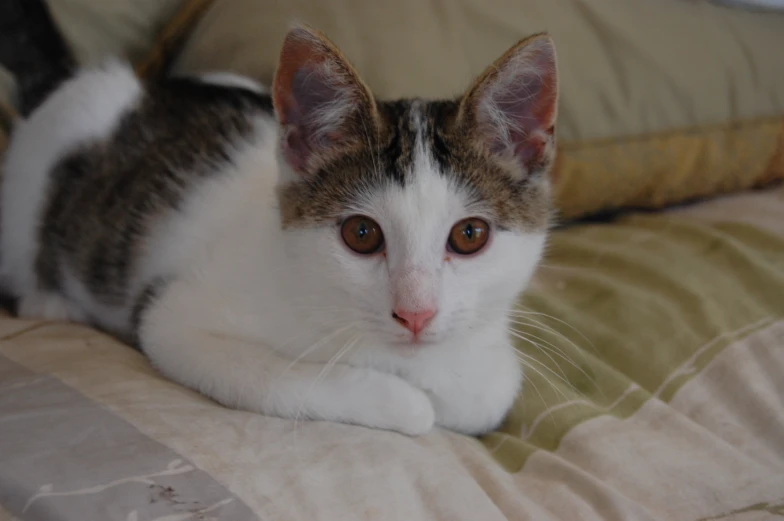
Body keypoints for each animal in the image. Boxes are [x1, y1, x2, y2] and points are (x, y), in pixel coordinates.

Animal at [3, 26, 560, 436]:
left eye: (470, 236)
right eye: (362, 234)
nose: (416, 314)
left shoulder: (487, 372)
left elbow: (486, 395)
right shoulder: (170, 318)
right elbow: (277, 380)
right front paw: (403, 402)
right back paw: (51, 301)